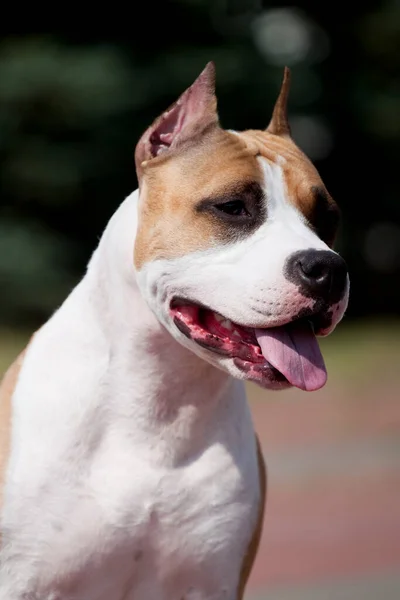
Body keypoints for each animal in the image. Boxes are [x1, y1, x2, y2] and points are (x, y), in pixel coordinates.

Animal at [0, 63, 348, 596]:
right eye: (233, 207)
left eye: (327, 218)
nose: (327, 268)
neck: (159, 400)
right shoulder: (22, 579)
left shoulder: (212, 581)